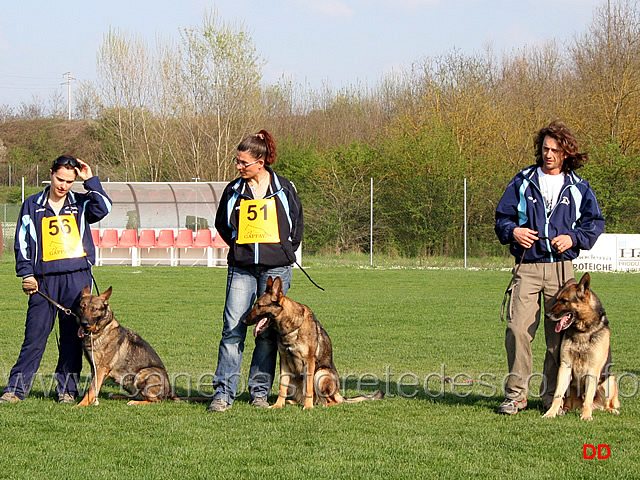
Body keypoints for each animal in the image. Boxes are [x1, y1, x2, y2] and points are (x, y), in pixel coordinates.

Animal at [242, 278, 382, 408]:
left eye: (258, 306)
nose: (242, 321)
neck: (292, 327)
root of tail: (339, 393)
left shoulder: (309, 362)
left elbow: (309, 388)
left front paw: (308, 407)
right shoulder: (284, 361)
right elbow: (282, 386)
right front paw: (277, 405)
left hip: (320, 373)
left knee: (333, 401)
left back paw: (320, 404)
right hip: (294, 379)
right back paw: (292, 401)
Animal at [540, 274, 620, 420]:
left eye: (564, 301)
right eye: (557, 299)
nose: (546, 315)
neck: (582, 331)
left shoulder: (593, 369)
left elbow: (588, 396)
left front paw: (586, 416)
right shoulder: (565, 366)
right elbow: (557, 395)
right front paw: (551, 413)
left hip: (610, 380)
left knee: (605, 404)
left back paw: (610, 410)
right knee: (567, 401)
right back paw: (564, 409)